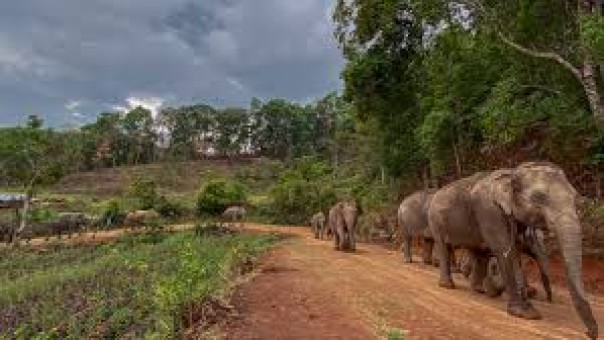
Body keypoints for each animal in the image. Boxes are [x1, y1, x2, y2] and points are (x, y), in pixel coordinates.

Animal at [430, 163, 600, 340]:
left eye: (575, 197)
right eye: (539, 197)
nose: (588, 333)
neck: (512, 173)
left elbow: (515, 251)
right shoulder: (489, 211)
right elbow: (504, 249)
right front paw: (526, 313)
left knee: (480, 253)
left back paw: (480, 290)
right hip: (435, 220)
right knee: (444, 247)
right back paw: (448, 286)